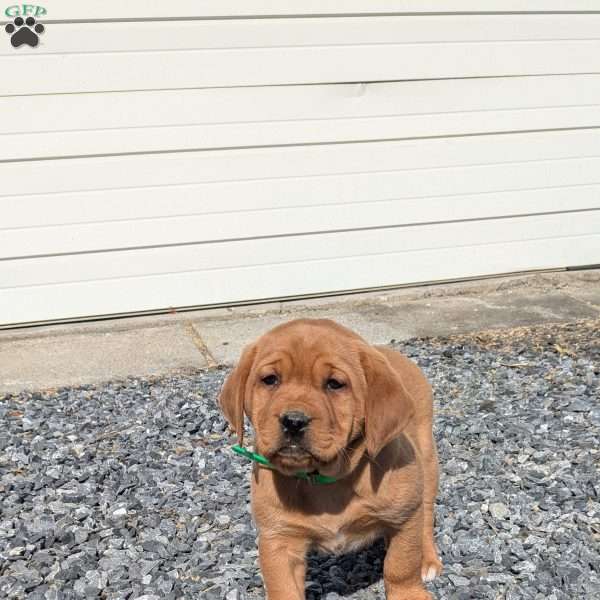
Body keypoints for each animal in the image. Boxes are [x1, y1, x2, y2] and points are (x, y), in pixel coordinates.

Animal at [219, 316, 440, 596]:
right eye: (270, 380)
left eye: (334, 384)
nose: (293, 421)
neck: (326, 480)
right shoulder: (278, 539)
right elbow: (283, 588)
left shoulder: (405, 517)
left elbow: (401, 565)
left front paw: (408, 593)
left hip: (428, 464)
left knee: (426, 516)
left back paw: (429, 561)